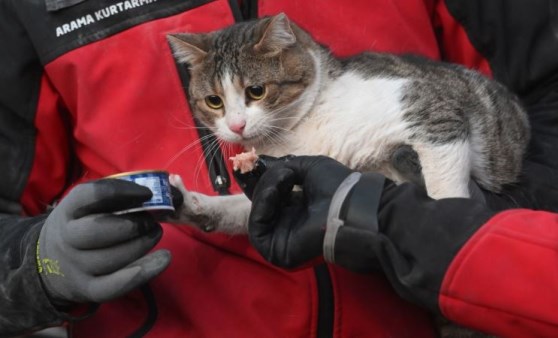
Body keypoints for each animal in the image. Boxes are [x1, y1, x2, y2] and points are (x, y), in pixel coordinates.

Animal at [165, 13, 528, 235]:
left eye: (256, 91)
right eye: (214, 101)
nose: (236, 126)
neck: (298, 131)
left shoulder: (430, 107)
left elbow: (445, 187)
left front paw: (448, 219)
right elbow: (239, 209)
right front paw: (188, 203)